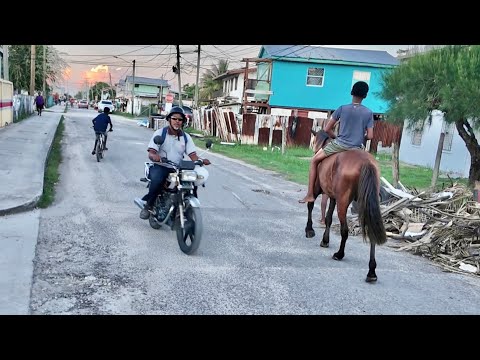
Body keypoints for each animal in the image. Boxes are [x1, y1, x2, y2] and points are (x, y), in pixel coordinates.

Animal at [306, 130, 388, 284]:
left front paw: (309, 230)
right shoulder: (333, 197)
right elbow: (328, 218)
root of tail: (366, 162)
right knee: (371, 231)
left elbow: (311, 204)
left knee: (344, 230)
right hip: (366, 202)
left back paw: (339, 254)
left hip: (343, 202)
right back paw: (371, 271)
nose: (313, 149)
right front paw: (325, 240)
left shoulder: (318, 189)